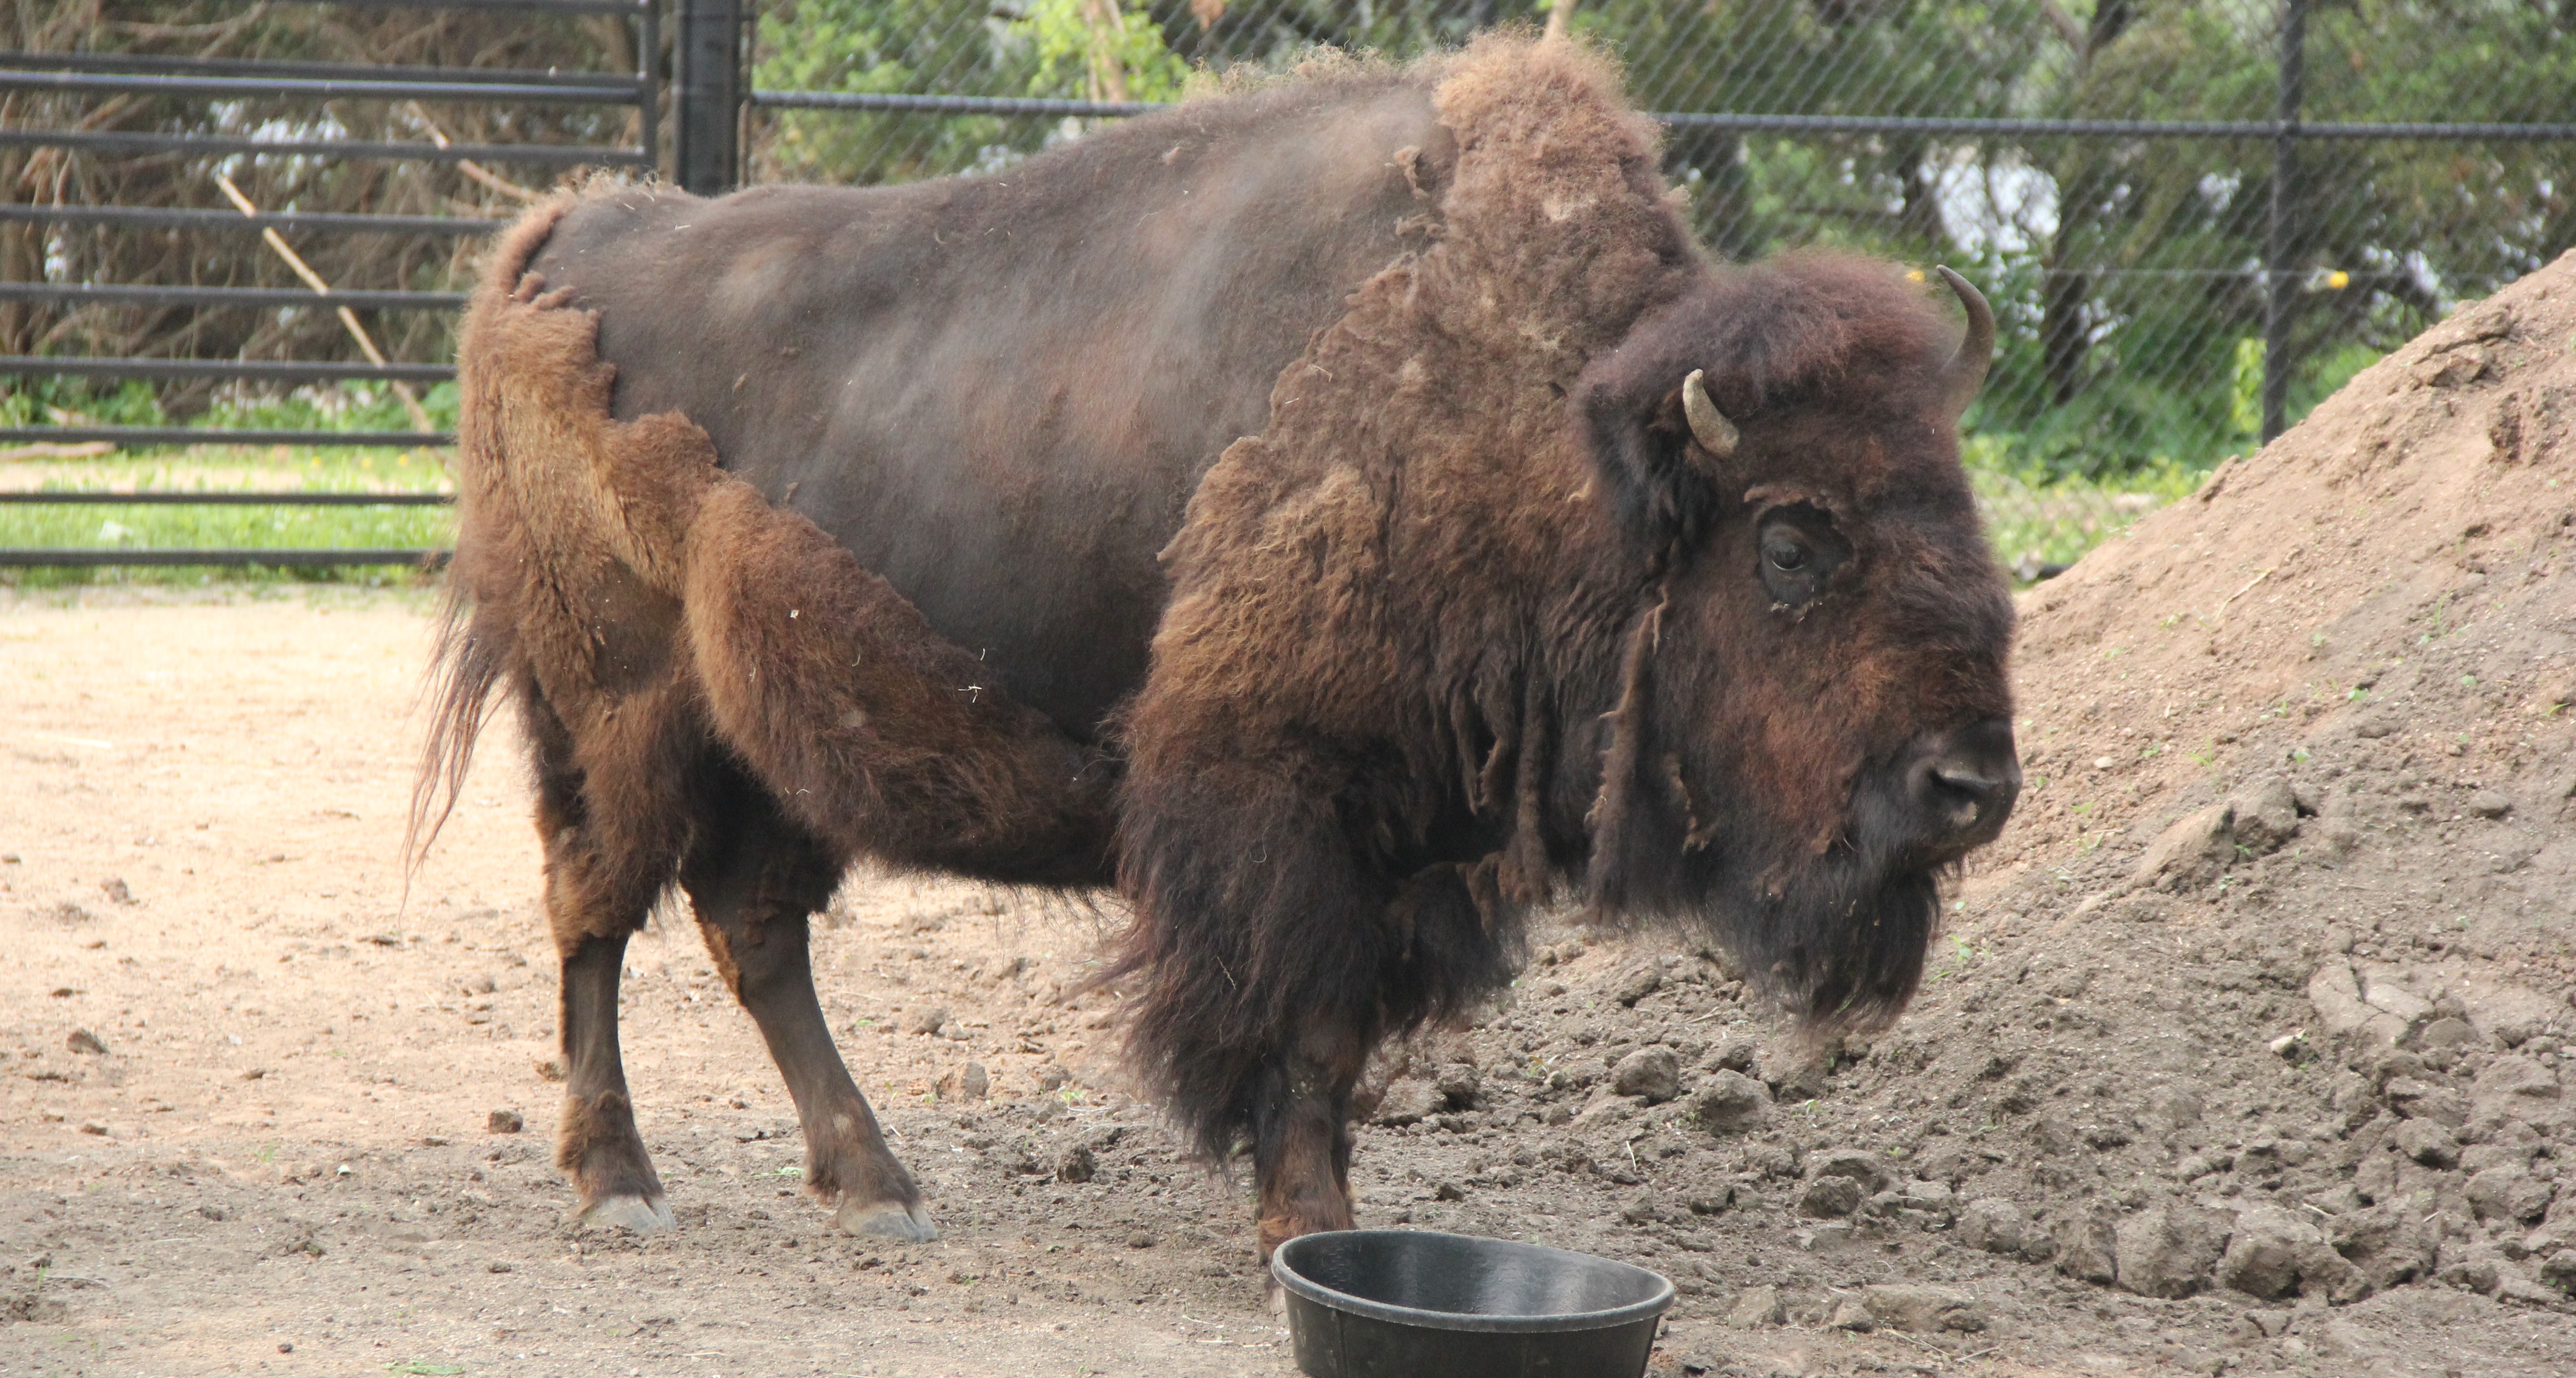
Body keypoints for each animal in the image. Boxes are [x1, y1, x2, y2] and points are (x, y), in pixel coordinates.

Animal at [413, 36, 2019, 1258]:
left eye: (1961, 503)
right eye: (1791, 543)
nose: (1971, 787)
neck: (1550, 437)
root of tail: (558, 238)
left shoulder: (1396, 844)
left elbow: (1340, 1037)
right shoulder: (1279, 799)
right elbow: (1298, 1031)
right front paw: (1303, 1226)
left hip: (764, 744)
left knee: (751, 929)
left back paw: (875, 1186)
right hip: (616, 711)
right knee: (594, 910)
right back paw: (622, 1183)